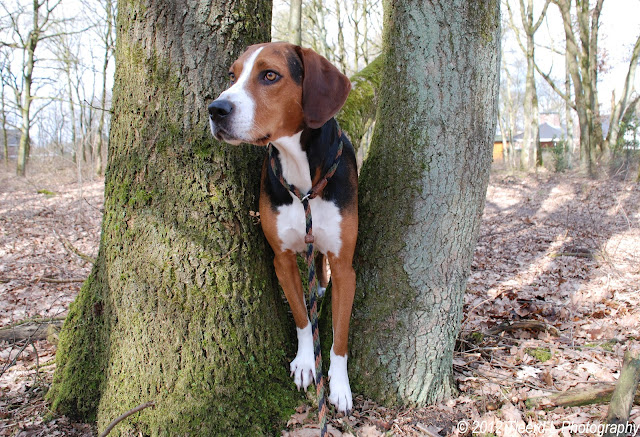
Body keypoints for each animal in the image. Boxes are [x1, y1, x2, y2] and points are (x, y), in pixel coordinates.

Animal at [208, 42, 357, 413]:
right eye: (232, 75)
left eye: (270, 75)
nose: (215, 109)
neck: (302, 179)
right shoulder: (282, 259)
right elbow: (302, 318)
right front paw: (305, 363)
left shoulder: (345, 267)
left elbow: (340, 336)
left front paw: (340, 386)